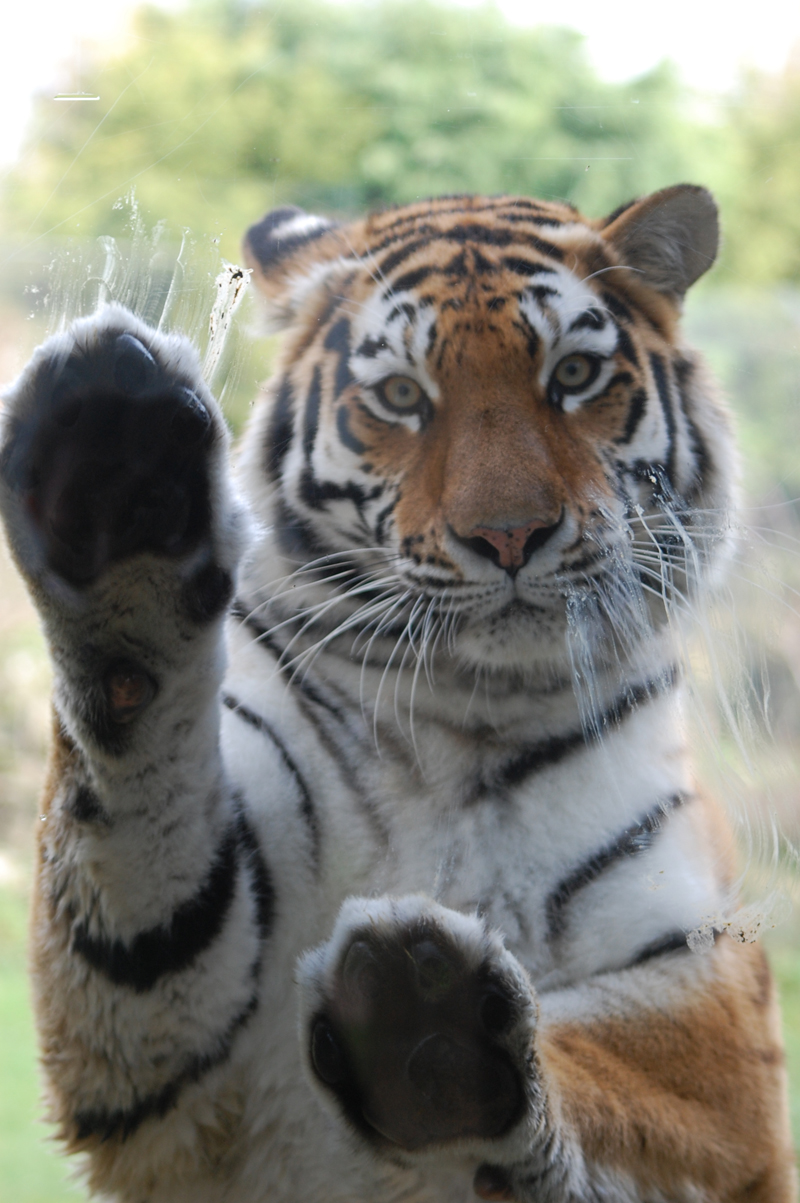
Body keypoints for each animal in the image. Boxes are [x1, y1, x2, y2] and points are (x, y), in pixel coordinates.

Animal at [0, 184, 795, 1203]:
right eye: (402, 396)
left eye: (575, 375)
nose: (510, 535)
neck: (467, 718)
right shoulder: (172, 1094)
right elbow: (132, 828)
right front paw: (118, 463)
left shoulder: (711, 1012)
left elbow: (615, 1082)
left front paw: (426, 1020)